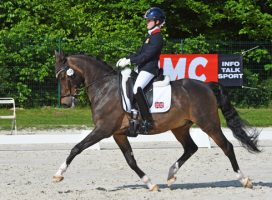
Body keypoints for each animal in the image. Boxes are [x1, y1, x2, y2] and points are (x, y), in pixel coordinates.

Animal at [52, 50, 260, 191]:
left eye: (64, 76)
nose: (66, 103)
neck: (104, 87)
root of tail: (207, 86)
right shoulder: (118, 134)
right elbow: (131, 160)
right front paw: (150, 184)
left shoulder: (103, 129)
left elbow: (77, 148)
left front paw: (58, 174)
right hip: (180, 127)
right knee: (191, 148)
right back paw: (170, 175)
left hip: (208, 123)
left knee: (227, 147)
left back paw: (244, 180)